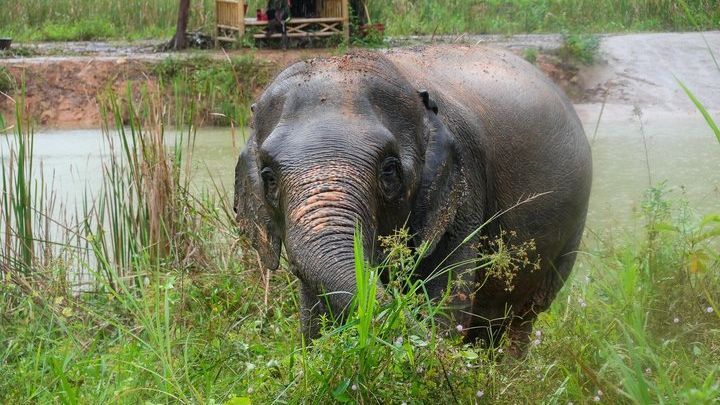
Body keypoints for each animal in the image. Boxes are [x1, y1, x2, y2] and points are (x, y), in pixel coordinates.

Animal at [234, 45, 592, 350]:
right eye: (268, 177)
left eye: (389, 170)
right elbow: (314, 316)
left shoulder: (463, 193)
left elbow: (444, 302)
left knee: (523, 317)